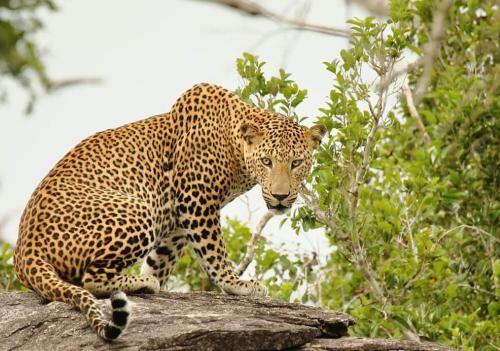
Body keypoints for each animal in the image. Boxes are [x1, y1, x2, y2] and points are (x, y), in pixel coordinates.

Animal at [13, 82, 326, 340]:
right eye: (267, 161)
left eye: (297, 163)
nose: (280, 196)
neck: (234, 145)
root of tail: (25, 251)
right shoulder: (197, 199)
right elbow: (215, 253)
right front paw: (237, 284)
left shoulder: (177, 221)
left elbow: (161, 260)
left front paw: (164, 282)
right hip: (137, 210)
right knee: (91, 280)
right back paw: (143, 283)